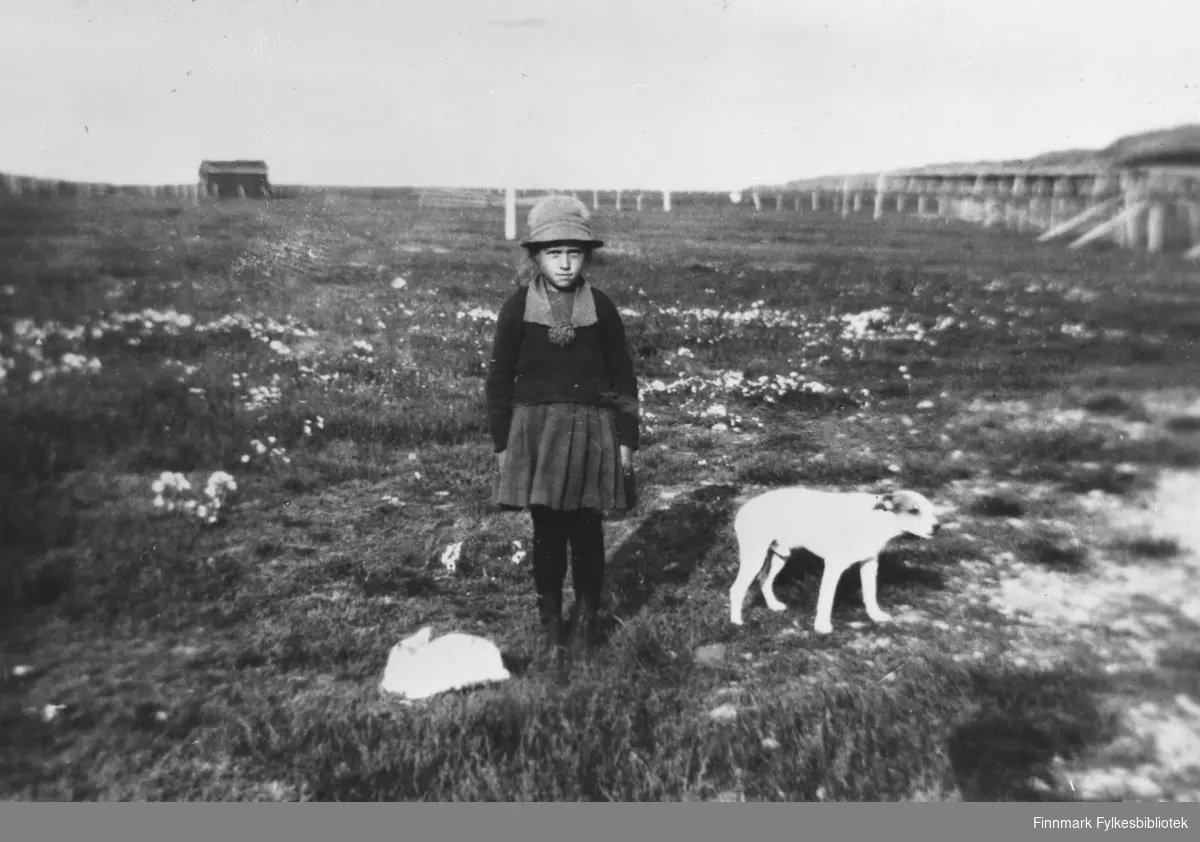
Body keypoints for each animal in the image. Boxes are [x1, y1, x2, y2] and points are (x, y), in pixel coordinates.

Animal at [729, 491, 936, 638]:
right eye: (914, 510)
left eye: (931, 510)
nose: (938, 527)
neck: (875, 518)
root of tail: (744, 508)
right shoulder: (834, 567)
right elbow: (826, 600)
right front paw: (822, 626)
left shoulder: (869, 563)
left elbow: (870, 593)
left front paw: (875, 616)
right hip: (755, 557)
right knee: (737, 589)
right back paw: (736, 622)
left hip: (780, 556)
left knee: (764, 579)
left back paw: (773, 606)